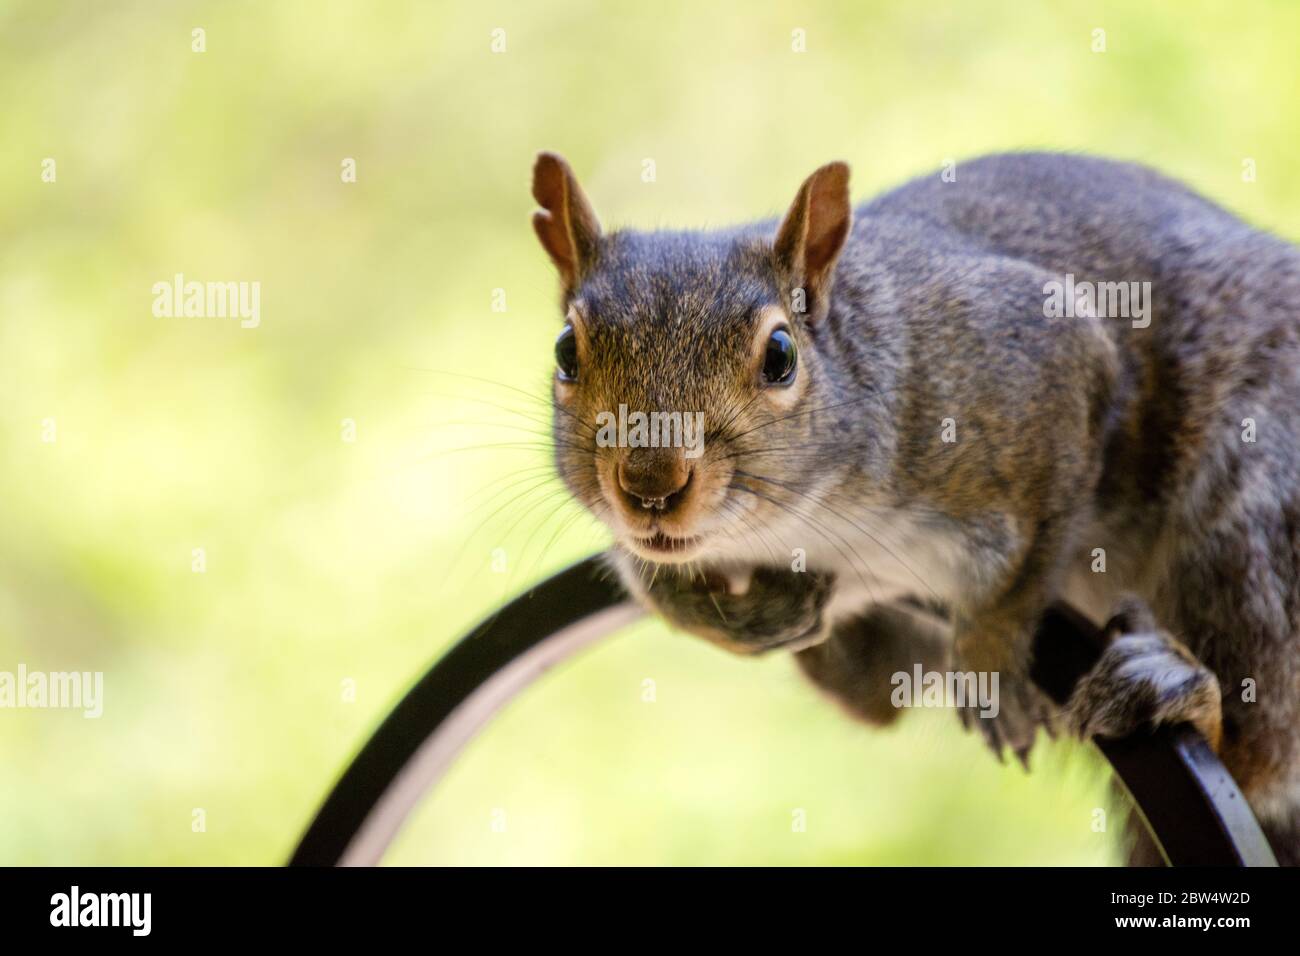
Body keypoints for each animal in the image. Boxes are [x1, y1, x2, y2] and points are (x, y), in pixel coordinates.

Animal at [531, 150, 1300, 865]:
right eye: (566, 351)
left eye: (780, 355)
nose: (649, 486)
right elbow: (649, 573)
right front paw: (700, 608)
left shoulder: (1045, 364)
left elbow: (1028, 558)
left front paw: (989, 670)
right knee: (871, 695)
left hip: (1252, 513)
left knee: (1260, 741)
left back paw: (1179, 692)